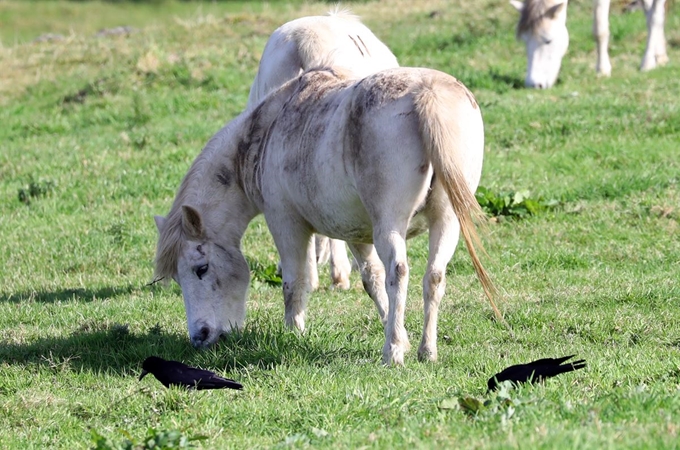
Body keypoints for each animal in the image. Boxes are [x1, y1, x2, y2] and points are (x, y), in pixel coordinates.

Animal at [154, 67, 500, 366]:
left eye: (201, 269)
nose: (200, 336)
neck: (264, 133)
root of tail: (427, 93)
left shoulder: (286, 223)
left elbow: (295, 282)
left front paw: (294, 332)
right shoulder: (357, 231)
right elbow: (372, 279)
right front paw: (397, 330)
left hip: (390, 224)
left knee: (399, 272)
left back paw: (392, 353)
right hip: (446, 221)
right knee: (434, 276)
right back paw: (426, 350)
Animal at [512, 0, 668, 89]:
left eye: (548, 40)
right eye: (524, 41)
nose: (533, 85)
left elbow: (600, 29)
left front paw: (602, 70)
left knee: (655, 16)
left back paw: (647, 62)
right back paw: (660, 55)